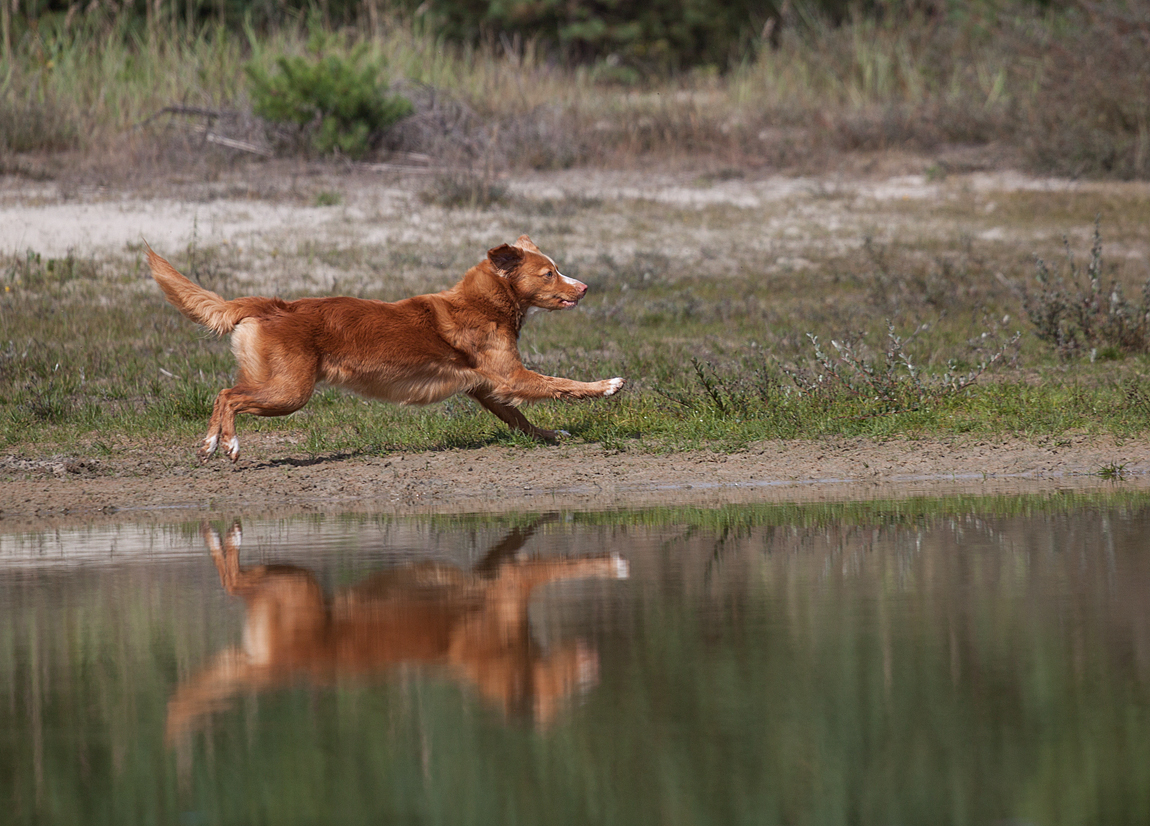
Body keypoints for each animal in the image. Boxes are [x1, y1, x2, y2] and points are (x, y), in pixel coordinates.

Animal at [148, 235, 625, 462]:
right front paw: (607, 386)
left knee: (223, 393)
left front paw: (550, 436)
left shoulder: (488, 389)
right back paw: (227, 443)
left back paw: (211, 443)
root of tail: (274, 305)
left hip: (274, 382)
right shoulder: (512, 377)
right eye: (550, 273)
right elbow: (561, 383)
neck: (487, 301)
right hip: (289, 392)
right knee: (229, 396)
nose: (585, 286)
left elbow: (523, 420)